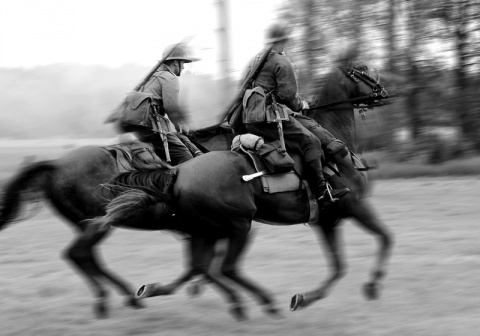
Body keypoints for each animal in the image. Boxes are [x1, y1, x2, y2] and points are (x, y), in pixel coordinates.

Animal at [0, 59, 394, 318]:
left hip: (95, 225)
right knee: (82, 255)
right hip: (102, 225)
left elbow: (198, 268)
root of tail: (54, 163)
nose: (384, 91)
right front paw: (373, 284)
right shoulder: (352, 208)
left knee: (85, 257)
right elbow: (382, 239)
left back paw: (127, 296)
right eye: (365, 71)